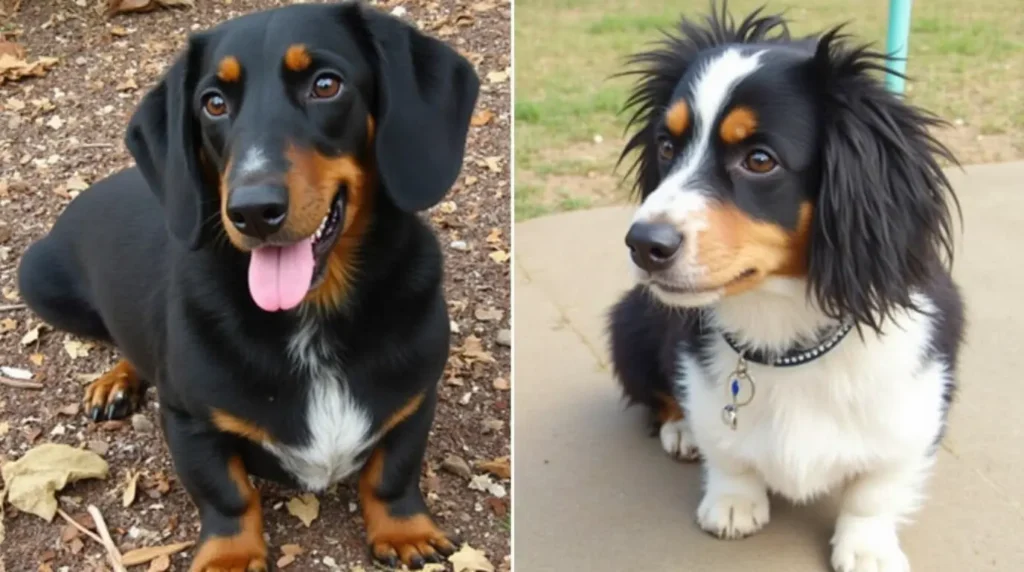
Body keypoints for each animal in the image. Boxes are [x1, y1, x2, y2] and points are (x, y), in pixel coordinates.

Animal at [610, 5, 962, 572]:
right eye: (666, 145)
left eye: (760, 159)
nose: (643, 244)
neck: (782, 321)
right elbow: (726, 449)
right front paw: (733, 502)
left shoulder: (914, 403)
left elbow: (877, 487)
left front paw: (868, 546)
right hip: (629, 324)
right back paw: (679, 429)